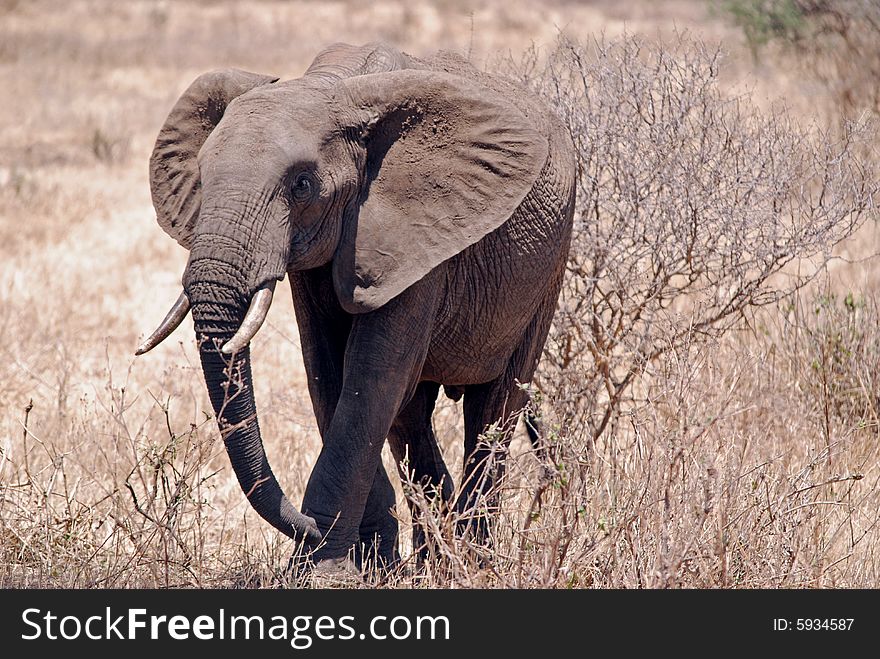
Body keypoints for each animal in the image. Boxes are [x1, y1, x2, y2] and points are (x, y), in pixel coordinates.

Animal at [136, 41, 576, 568]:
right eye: (201, 178)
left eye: (302, 185)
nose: (305, 528)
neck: (333, 88)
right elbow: (327, 371)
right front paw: (363, 562)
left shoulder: (415, 233)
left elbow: (371, 378)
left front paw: (326, 567)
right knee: (411, 418)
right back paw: (433, 556)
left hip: (549, 266)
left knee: (495, 406)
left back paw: (473, 561)